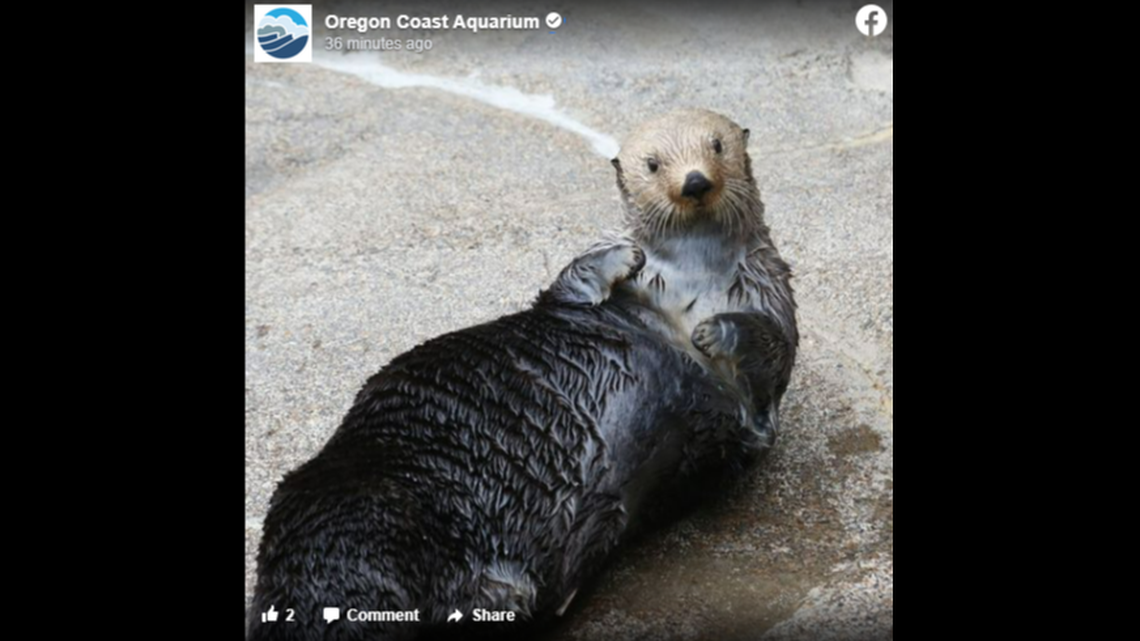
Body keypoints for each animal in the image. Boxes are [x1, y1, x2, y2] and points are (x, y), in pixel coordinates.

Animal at [247, 109, 795, 641]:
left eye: (717, 145)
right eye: (653, 164)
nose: (695, 182)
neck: (693, 279)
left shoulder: (768, 321)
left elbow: (772, 362)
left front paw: (715, 332)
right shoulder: (572, 301)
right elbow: (570, 282)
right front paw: (623, 257)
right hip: (365, 512)